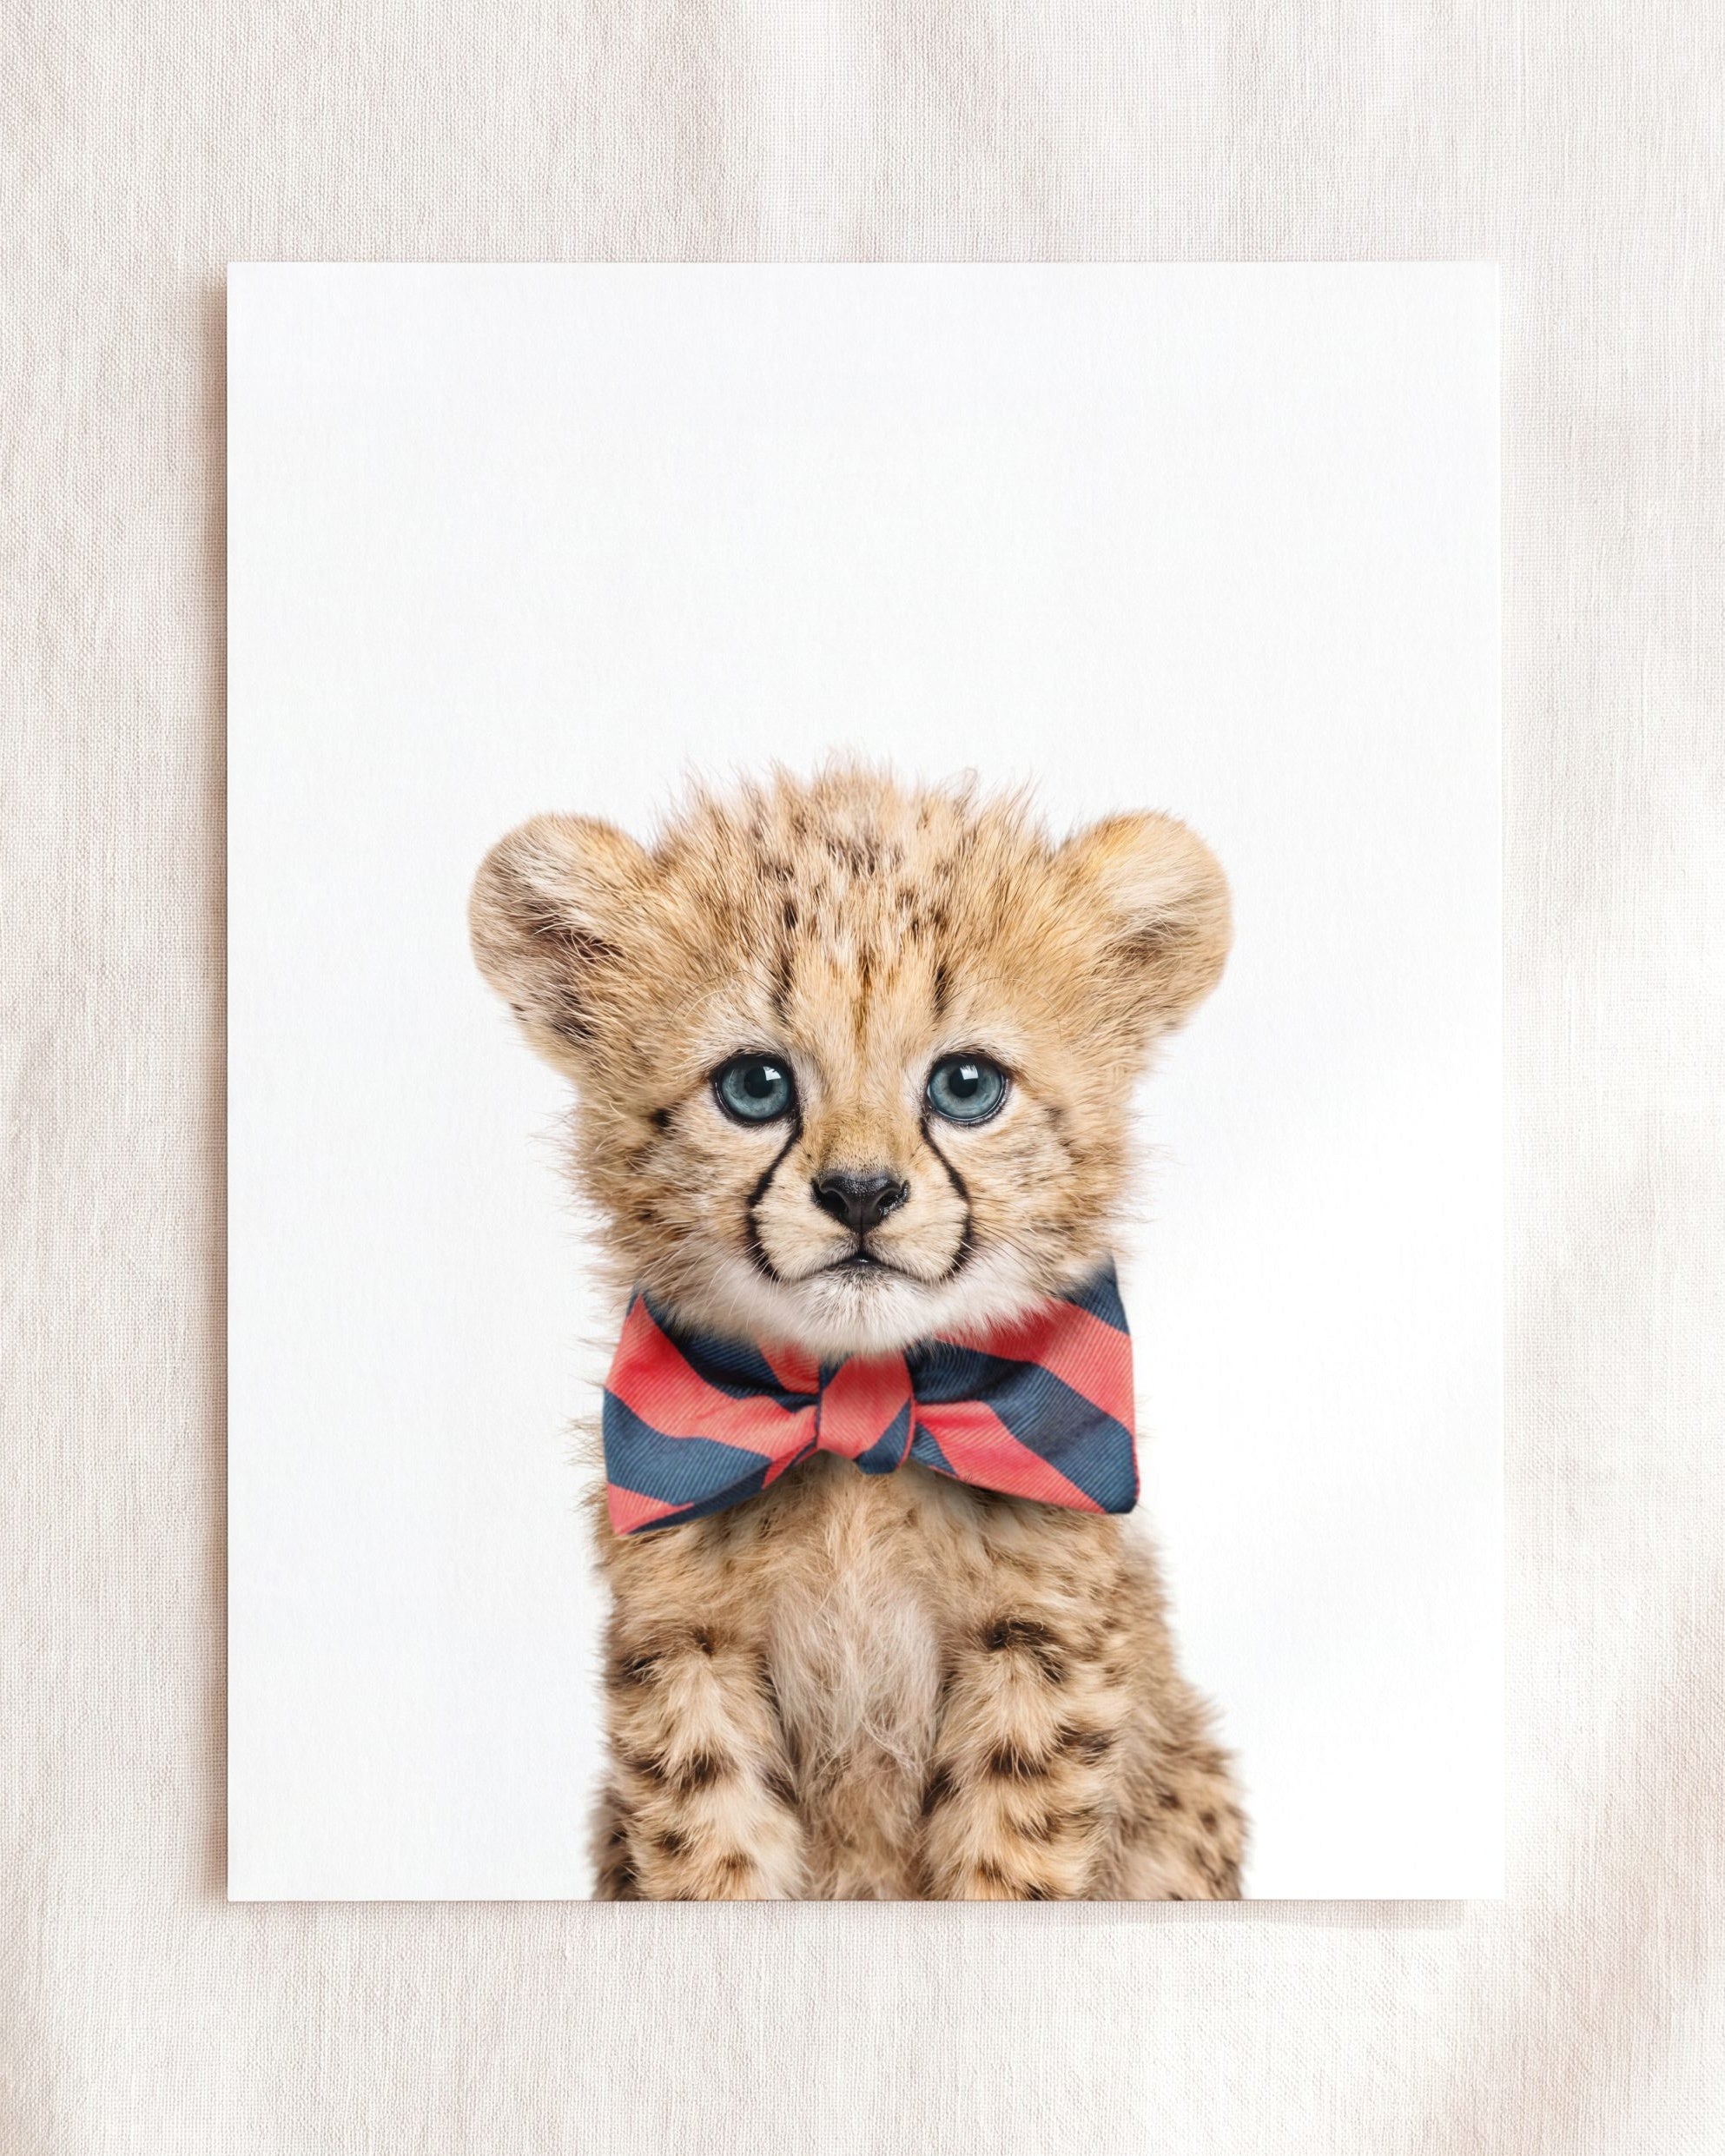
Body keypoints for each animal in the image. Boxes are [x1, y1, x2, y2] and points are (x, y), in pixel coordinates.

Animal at [470, 763, 1245, 1899]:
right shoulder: (687, 1645)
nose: (862, 1193)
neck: (862, 1411)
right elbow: (711, 1852)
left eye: (966, 1085)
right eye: (755, 1085)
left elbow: (1009, 1865)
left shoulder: (1042, 1646)